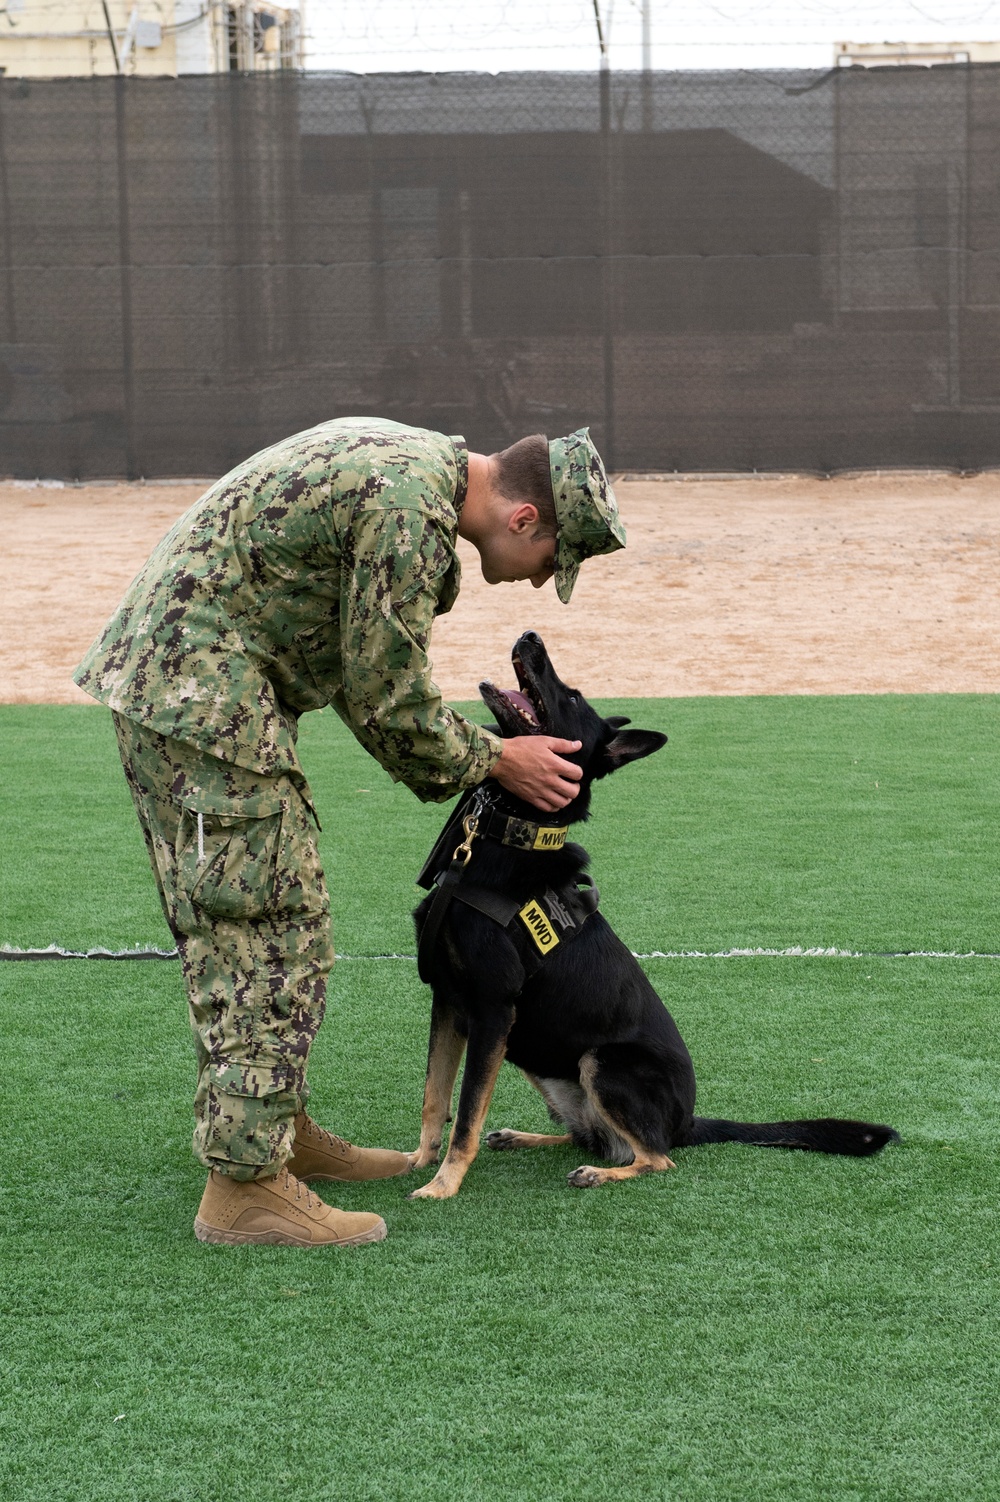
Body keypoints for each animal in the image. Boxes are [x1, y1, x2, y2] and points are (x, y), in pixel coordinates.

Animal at [405, 630, 894, 1195]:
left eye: (572, 697)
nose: (530, 636)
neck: (508, 835)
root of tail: (687, 1122)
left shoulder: (492, 1010)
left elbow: (464, 1113)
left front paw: (443, 1185)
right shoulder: (449, 1002)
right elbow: (434, 1097)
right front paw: (416, 1160)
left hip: (601, 1060)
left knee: (655, 1156)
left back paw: (600, 1172)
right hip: (539, 1058)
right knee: (587, 1134)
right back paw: (527, 1139)